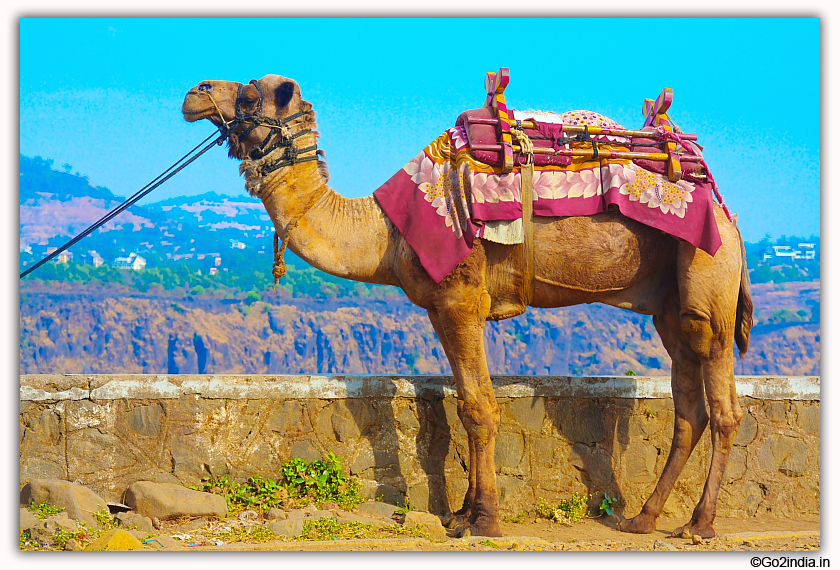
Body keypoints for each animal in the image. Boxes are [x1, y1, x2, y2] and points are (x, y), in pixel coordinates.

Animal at [182, 73, 756, 536]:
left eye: (249, 92)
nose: (195, 93)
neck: (386, 229)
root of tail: (729, 215)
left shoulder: (460, 297)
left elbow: (481, 406)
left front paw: (484, 520)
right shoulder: (440, 307)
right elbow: (464, 403)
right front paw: (461, 513)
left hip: (708, 274)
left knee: (723, 400)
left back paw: (699, 524)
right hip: (669, 304)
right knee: (689, 407)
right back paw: (643, 519)